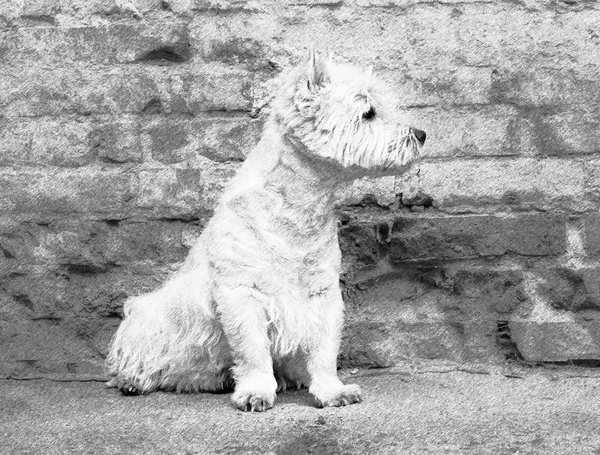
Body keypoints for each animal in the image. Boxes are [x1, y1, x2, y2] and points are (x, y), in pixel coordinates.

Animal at [108, 50, 426, 414]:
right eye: (368, 113)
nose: (421, 134)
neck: (297, 210)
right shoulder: (242, 293)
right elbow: (253, 350)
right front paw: (256, 393)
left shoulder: (323, 294)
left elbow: (324, 350)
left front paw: (333, 392)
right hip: (148, 321)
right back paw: (133, 381)